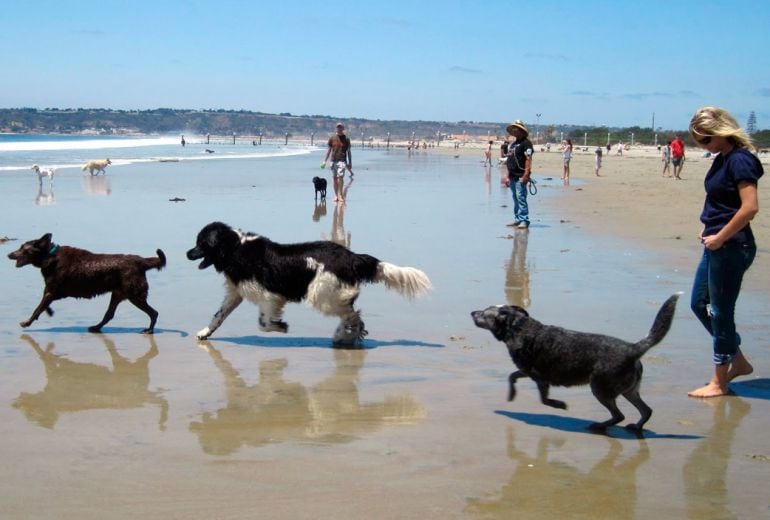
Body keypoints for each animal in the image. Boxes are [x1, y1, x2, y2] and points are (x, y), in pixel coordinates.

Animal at [7, 232, 166, 334]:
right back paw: (96, 327)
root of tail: (141, 261)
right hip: (118, 294)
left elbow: (38, 308)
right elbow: (43, 306)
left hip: (135, 295)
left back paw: (149, 330)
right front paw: (49, 312)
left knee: (154, 312)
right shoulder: (52, 292)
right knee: (109, 315)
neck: (49, 255)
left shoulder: (52, 291)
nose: (9, 254)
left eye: (22, 248)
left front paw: (27, 323)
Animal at [184, 220, 428, 346]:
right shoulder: (237, 292)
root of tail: (352, 256)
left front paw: (281, 327)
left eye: (200, 243)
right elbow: (219, 315)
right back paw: (345, 335)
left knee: (353, 315)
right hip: (330, 294)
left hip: (322, 294)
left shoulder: (269, 296)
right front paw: (205, 332)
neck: (236, 248)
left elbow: (264, 323)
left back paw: (345, 335)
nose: (187, 253)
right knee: (351, 313)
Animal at [468, 292, 680, 430]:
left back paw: (599, 426)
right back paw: (636, 427)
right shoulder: (528, 372)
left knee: (619, 415)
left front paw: (558, 405)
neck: (519, 327)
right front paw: (512, 395)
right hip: (629, 390)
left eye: (484, 313)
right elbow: (512, 376)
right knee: (646, 410)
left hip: (600, 388)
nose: (471, 312)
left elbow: (542, 398)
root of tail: (633, 348)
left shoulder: (538, 377)